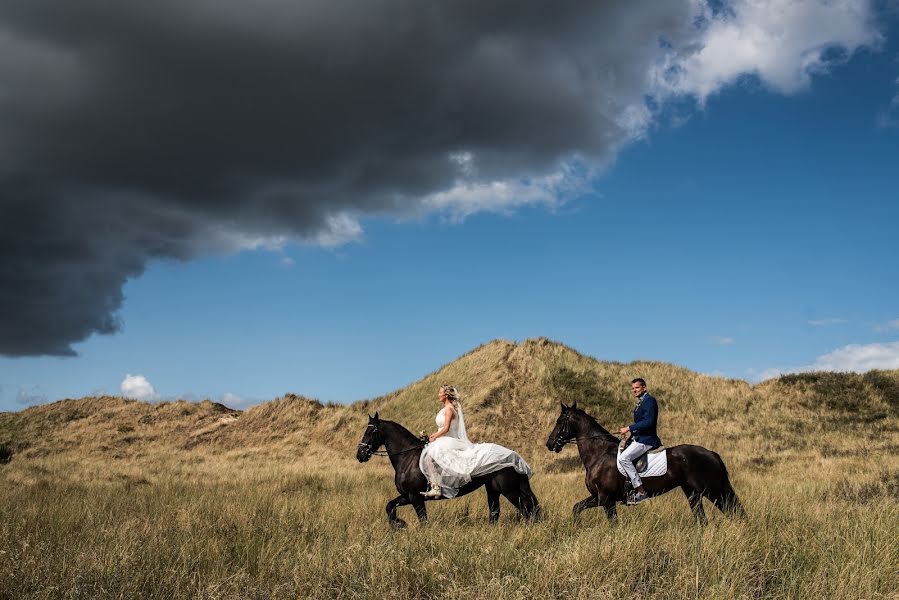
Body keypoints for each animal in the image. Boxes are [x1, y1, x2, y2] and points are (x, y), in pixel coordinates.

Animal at [356, 414, 540, 528]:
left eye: (370, 431)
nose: (360, 454)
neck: (407, 457)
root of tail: (513, 455)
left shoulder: (415, 497)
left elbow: (423, 521)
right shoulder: (407, 496)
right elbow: (389, 506)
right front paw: (399, 524)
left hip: (509, 490)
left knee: (527, 508)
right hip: (493, 489)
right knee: (496, 512)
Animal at [548, 404, 744, 524]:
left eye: (560, 421)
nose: (549, 443)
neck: (599, 454)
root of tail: (711, 453)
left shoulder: (606, 499)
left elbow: (613, 524)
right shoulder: (598, 497)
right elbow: (576, 508)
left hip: (712, 490)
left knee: (732, 511)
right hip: (693, 493)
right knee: (703, 519)